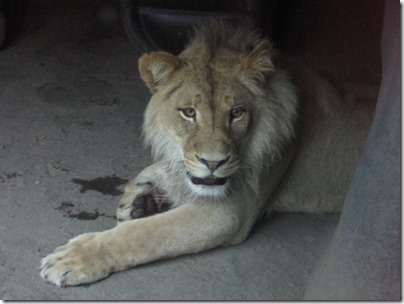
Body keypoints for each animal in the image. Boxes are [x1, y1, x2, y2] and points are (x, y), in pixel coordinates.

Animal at [38, 22, 372, 288]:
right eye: (188, 112)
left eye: (236, 113)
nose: (213, 163)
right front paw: (139, 197)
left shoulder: (229, 213)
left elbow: (145, 234)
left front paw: (77, 258)